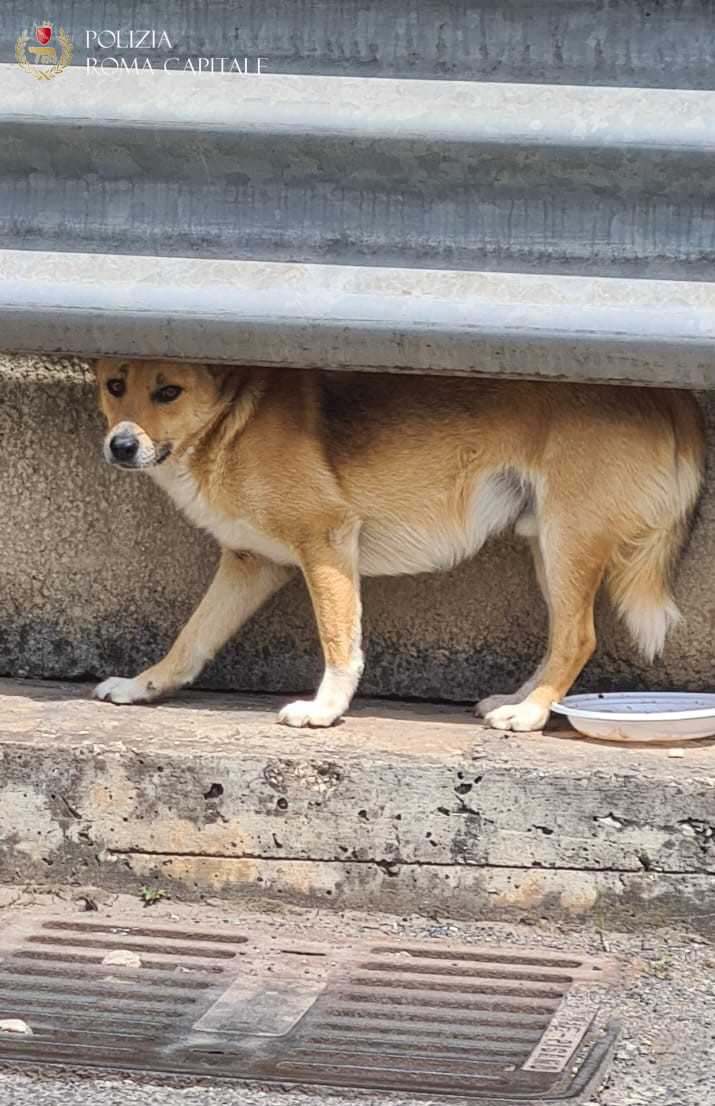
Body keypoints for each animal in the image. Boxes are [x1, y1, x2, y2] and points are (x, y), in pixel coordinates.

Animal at [92, 358, 708, 729]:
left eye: (169, 393)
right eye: (114, 386)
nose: (120, 446)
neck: (232, 419)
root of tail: (670, 396)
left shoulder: (327, 541)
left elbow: (340, 642)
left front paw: (324, 709)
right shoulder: (251, 563)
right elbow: (191, 638)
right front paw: (145, 686)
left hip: (567, 541)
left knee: (577, 637)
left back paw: (531, 714)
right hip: (547, 549)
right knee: (561, 636)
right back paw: (517, 700)